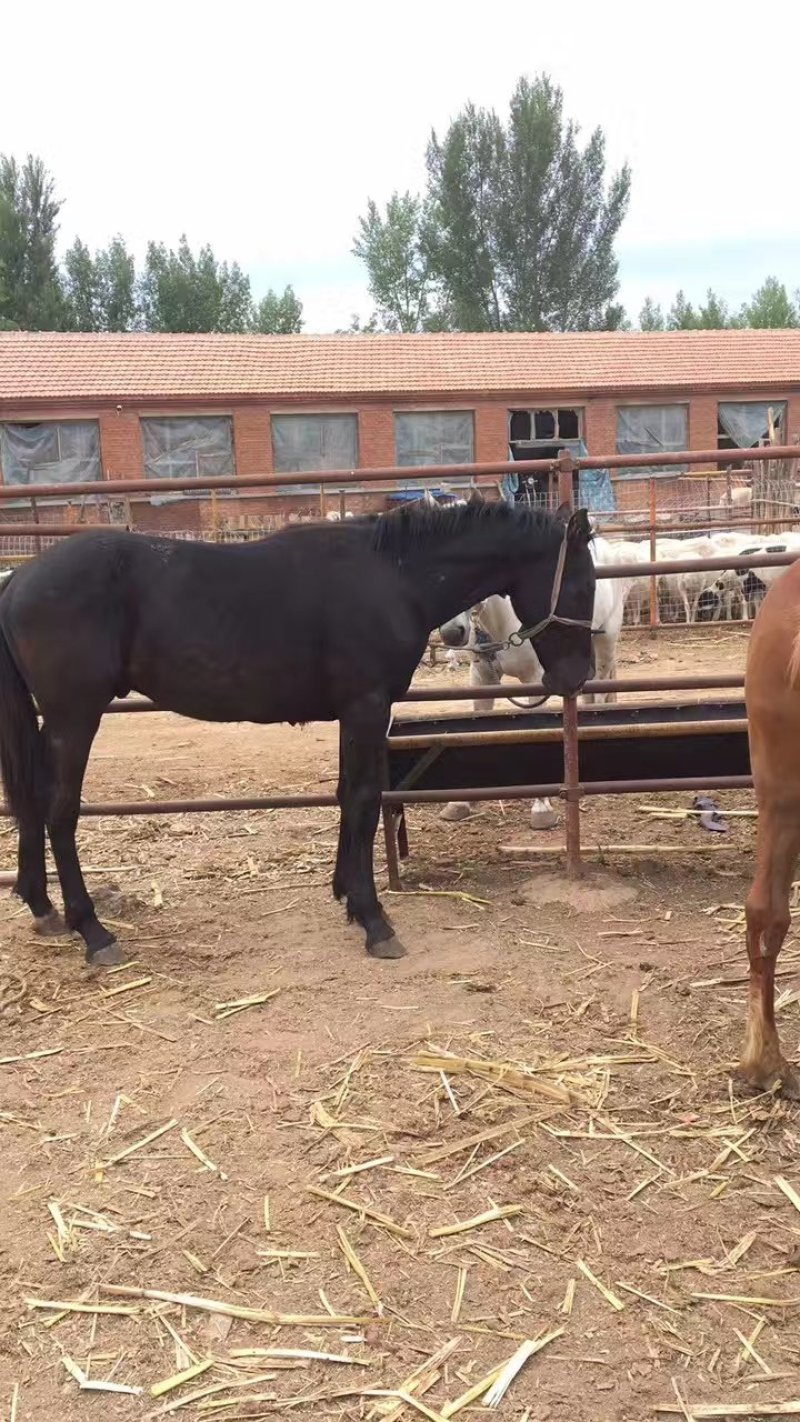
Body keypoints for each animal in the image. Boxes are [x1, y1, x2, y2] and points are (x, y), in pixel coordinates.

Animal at [0, 497, 595, 967]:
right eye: (581, 585)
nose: (576, 677)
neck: (391, 577)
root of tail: (18, 580)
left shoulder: (354, 713)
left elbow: (346, 796)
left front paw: (348, 897)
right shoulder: (365, 706)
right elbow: (363, 798)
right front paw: (374, 920)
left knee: (32, 801)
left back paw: (44, 909)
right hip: (75, 716)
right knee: (59, 811)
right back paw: (93, 932)